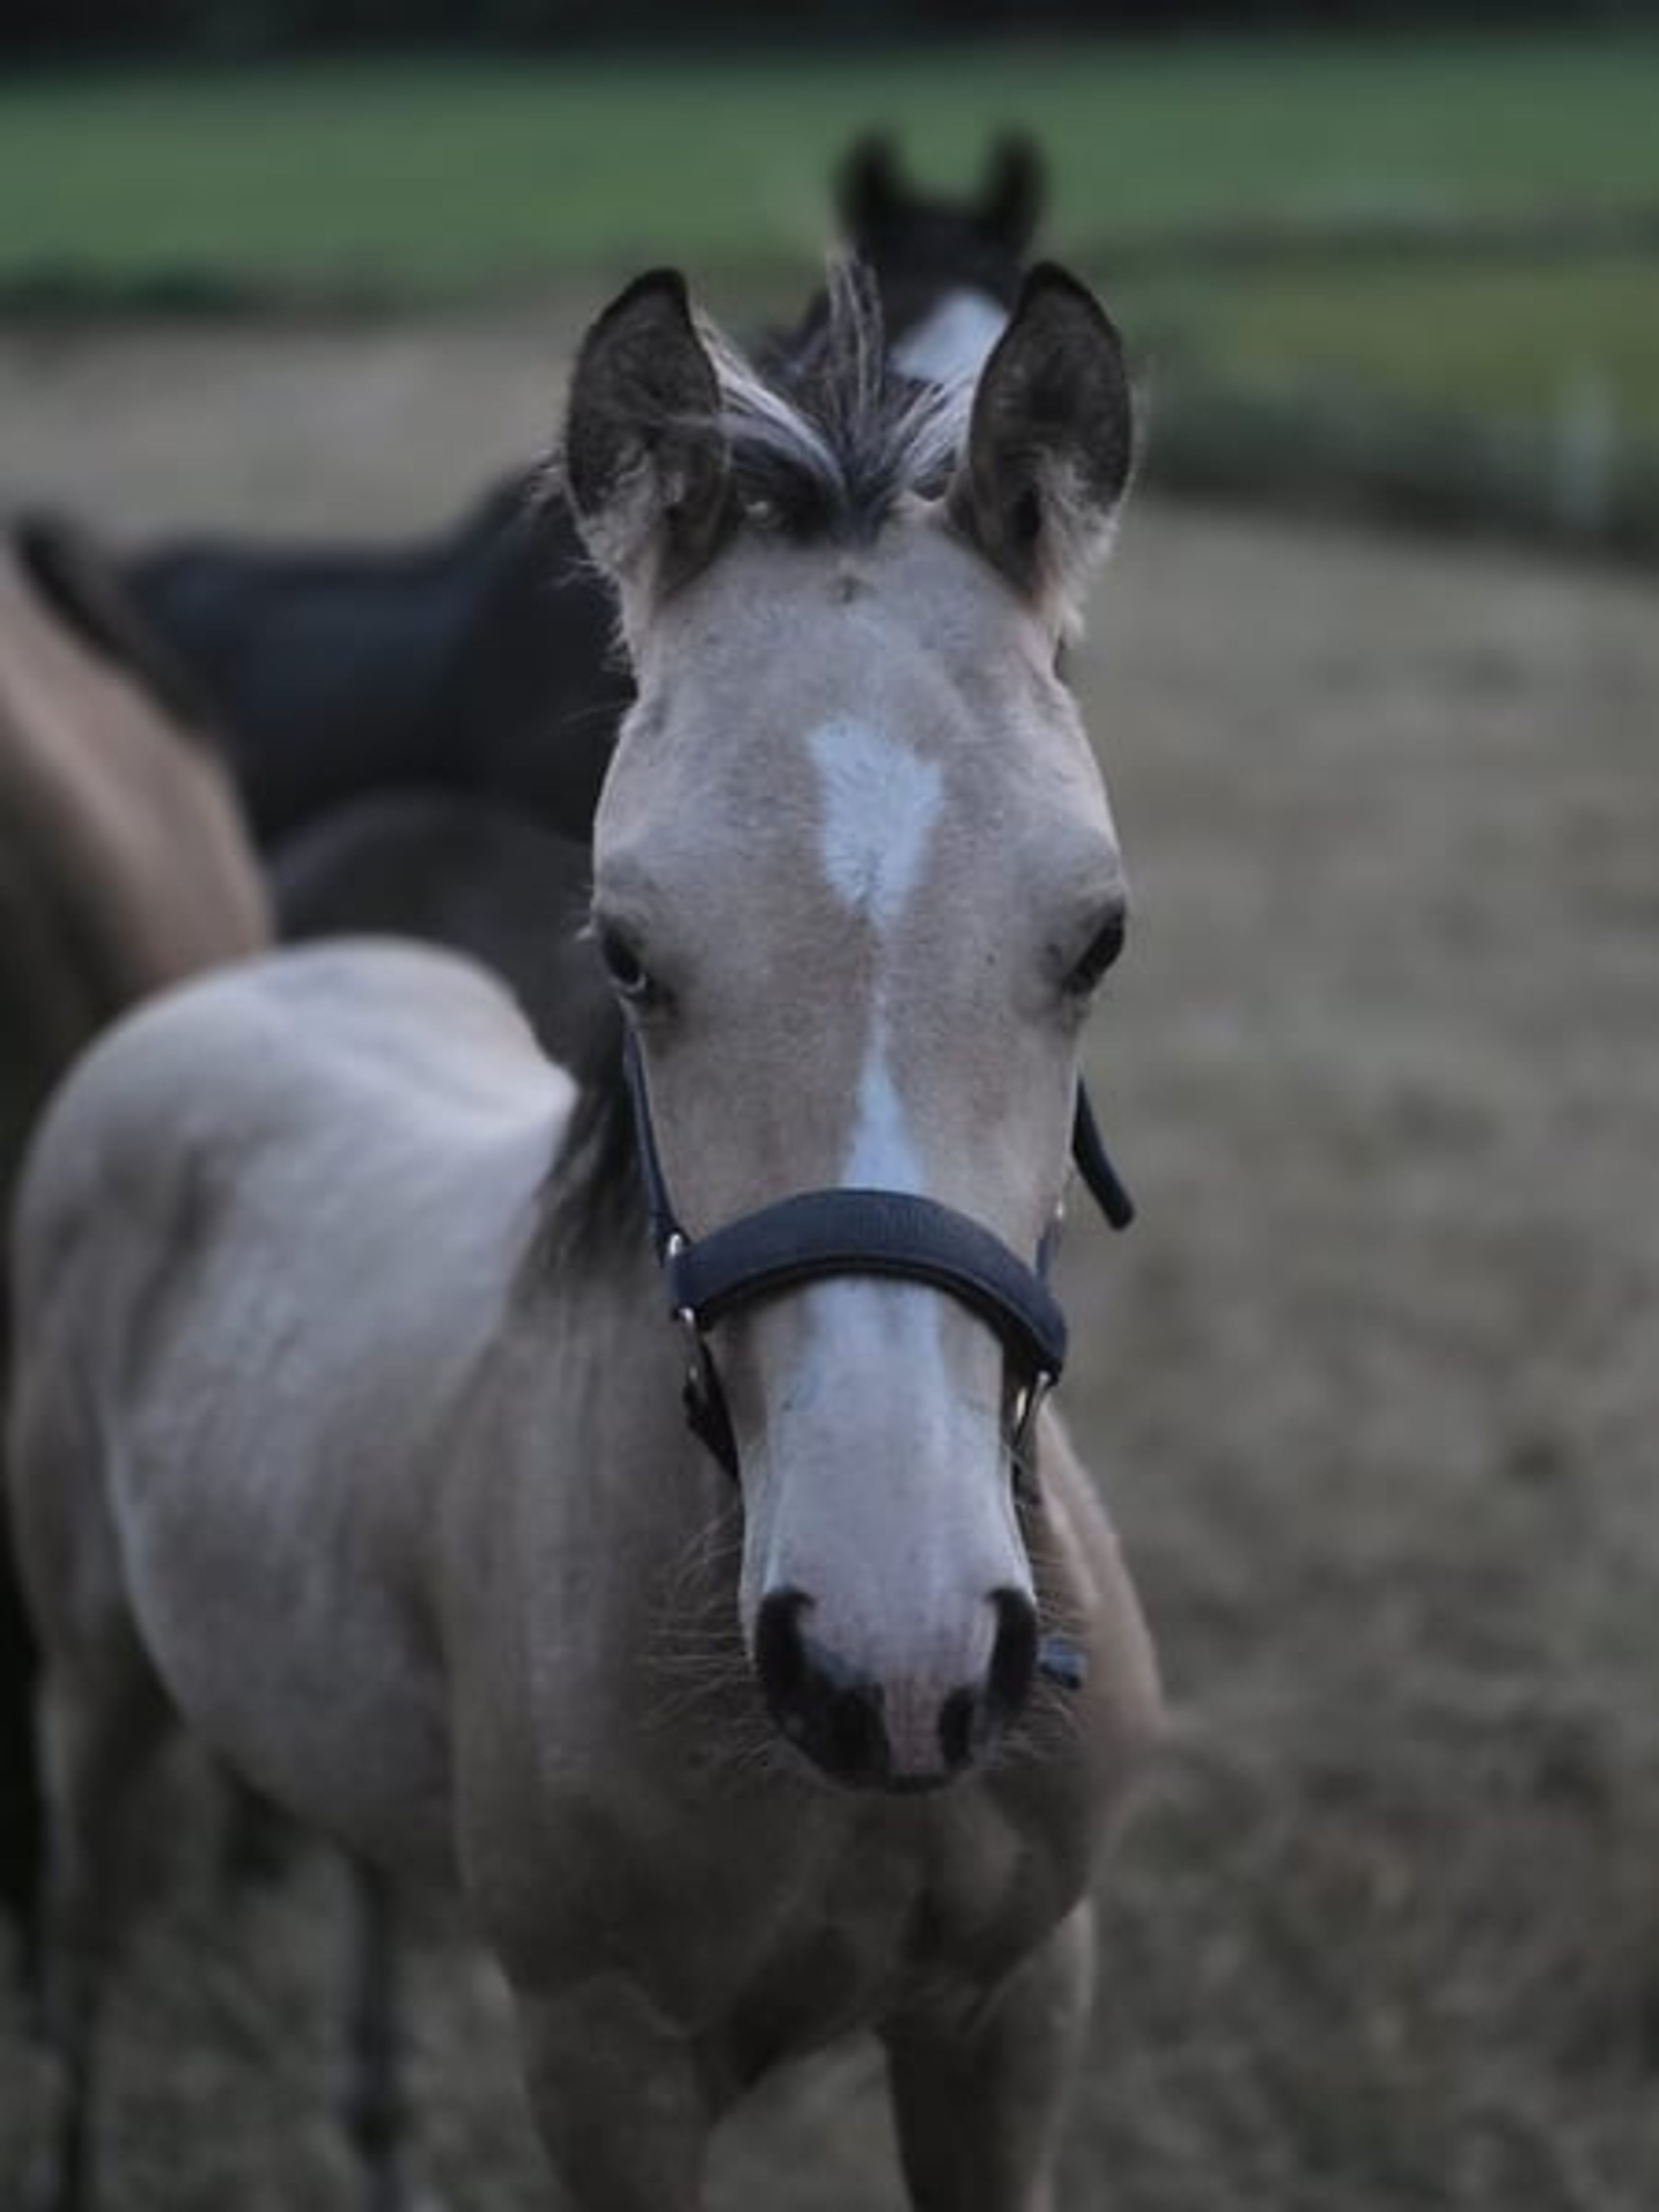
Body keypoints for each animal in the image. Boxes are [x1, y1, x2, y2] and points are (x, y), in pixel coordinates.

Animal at [8, 256, 1160, 2211]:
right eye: (624, 947)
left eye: (1098, 937)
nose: (897, 1661)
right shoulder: (607, 2056)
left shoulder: (1020, 2008)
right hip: (97, 1689)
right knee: (82, 1951)